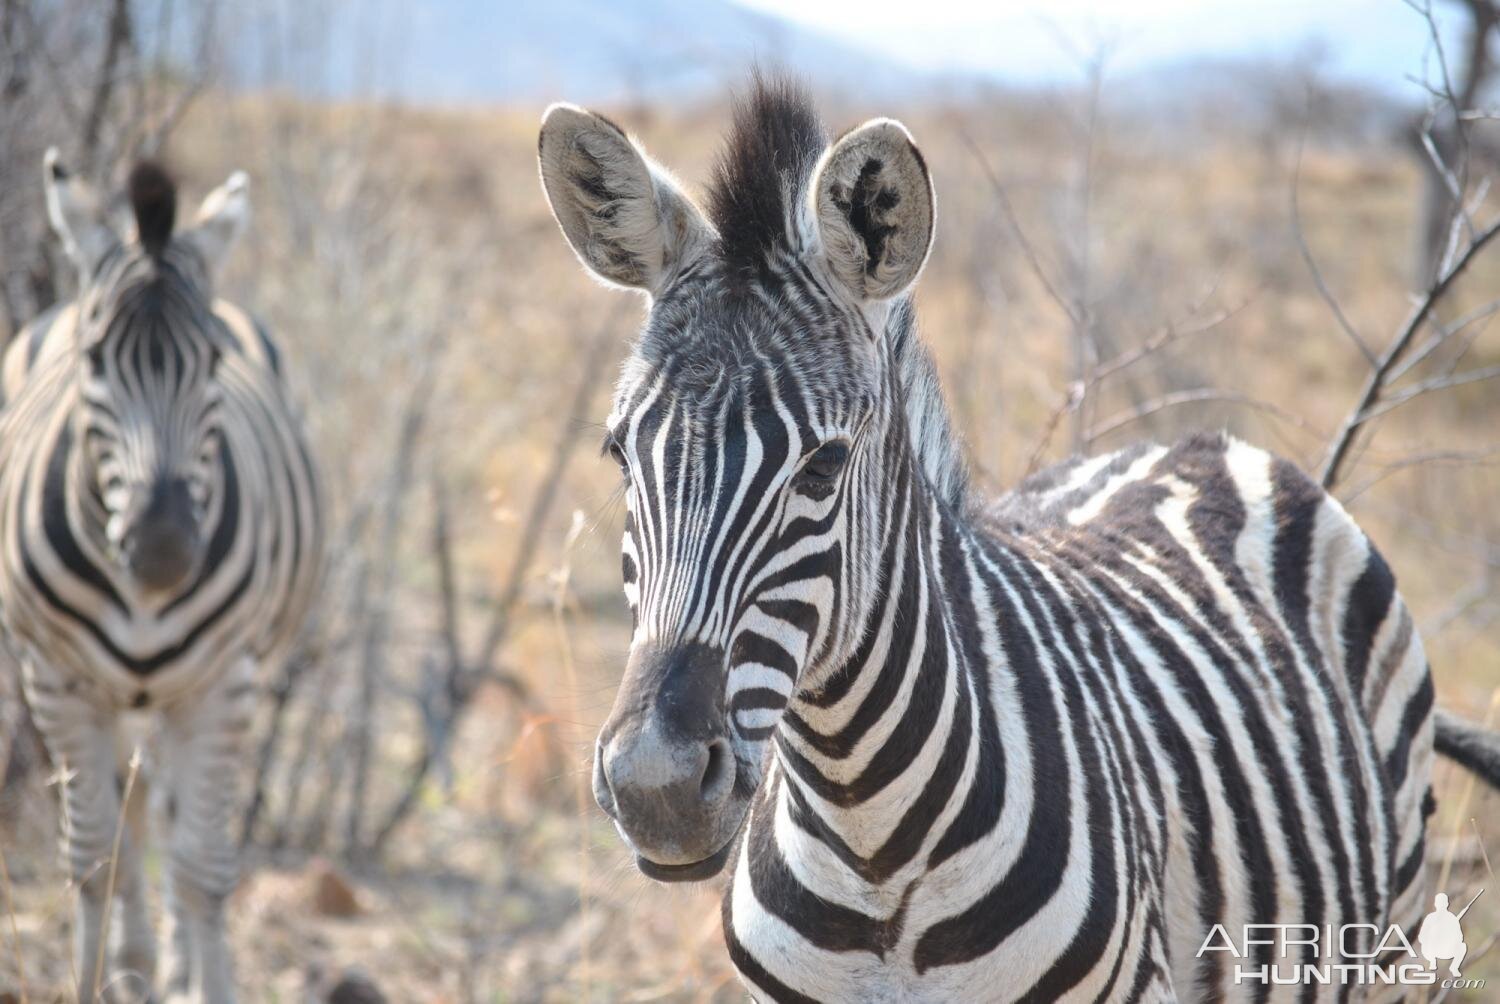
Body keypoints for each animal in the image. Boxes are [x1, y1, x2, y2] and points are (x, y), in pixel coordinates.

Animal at [1, 154, 319, 1002]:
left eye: (210, 363)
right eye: (93, 361)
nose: (165, 548)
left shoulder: (225, 685)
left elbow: (202, 868)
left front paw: (206, 983)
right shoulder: (57, 681)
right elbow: (93, 860)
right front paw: (95, 978)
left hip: (189, 693)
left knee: (173, 820)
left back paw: (169, 965)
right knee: (133, 810)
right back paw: (136, 964)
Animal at [540, 78, 1500, 1002]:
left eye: (823, 468)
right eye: (619, 454)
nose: (656, 790)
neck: (868, 849)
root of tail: (1207, 443)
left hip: (1393, 930)